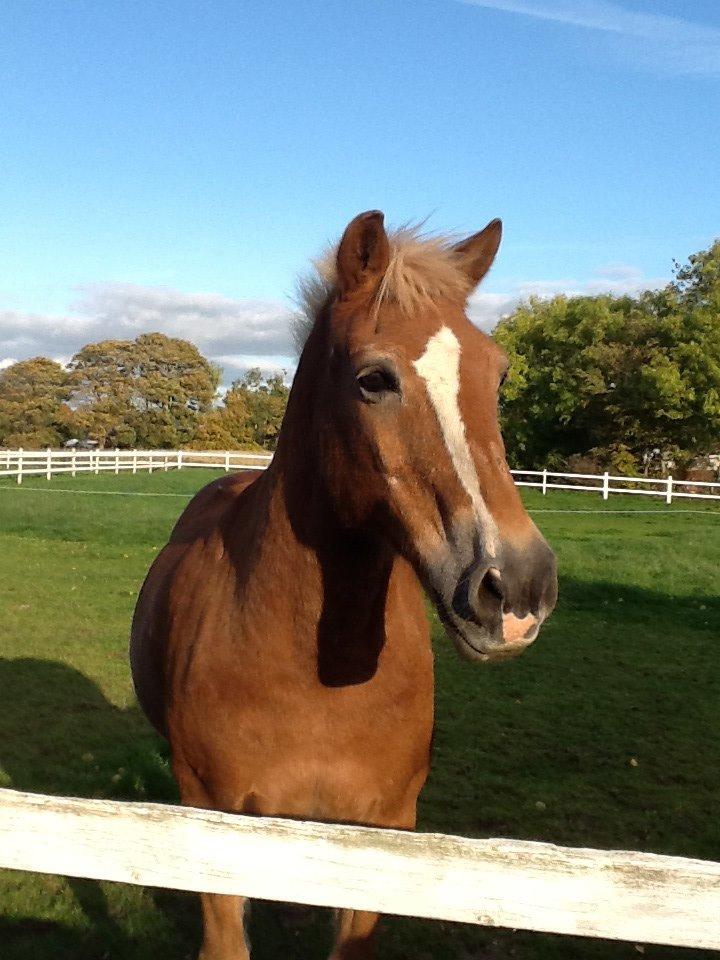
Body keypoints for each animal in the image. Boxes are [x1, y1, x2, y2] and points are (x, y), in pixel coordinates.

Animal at [131, 212, 556, 960]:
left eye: (498, 375)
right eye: (373, 379)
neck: (311, 679)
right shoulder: (212, 827)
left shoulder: (382, 836)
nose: (517, 590)